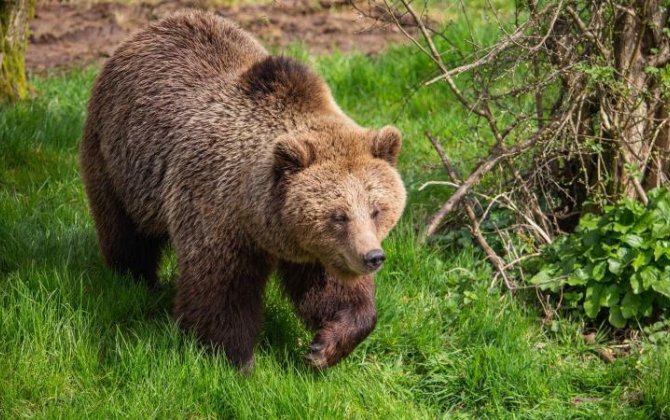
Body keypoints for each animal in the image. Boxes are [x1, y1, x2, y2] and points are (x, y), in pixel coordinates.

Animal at [82, 11, 410, 370]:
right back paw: (135, 281)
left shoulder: (318, 249)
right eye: (339, 215)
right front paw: (236, 360)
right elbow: (221, 292)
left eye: (377, 209)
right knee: (125, 233)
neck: (258, 218)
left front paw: (324, 347)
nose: (373, 257)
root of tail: (148, 30)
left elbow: (333, 290)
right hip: (117, 160)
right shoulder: (215, 210)